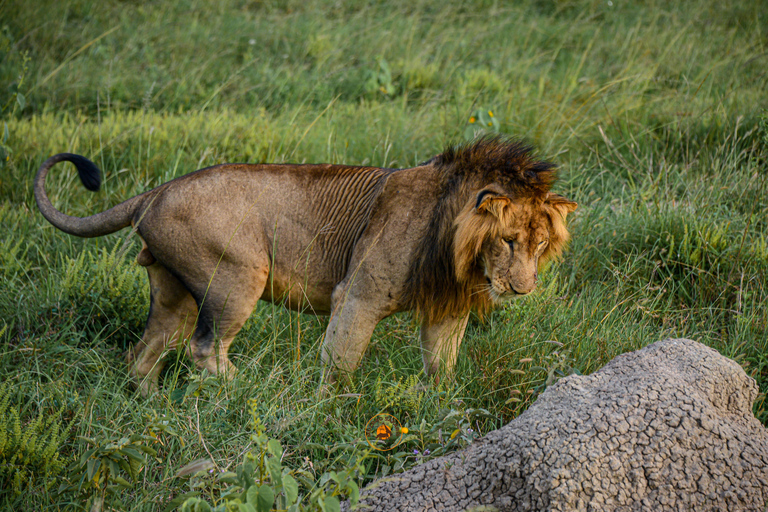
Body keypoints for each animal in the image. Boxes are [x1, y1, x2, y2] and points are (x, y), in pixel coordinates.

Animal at [36, 137, 576, 396]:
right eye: (507, 240)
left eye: (540, 244)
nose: (523, 289)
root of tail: (155, 191)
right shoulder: (357, 294)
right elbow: (340, 359)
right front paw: (329, 409)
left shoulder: (446, 310)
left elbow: (442, 365)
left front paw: (439, 408)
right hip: (237, 276)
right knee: (205, 349)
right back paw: (253, 391)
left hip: (175, 292)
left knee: (144, 353)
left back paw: (153, 409)